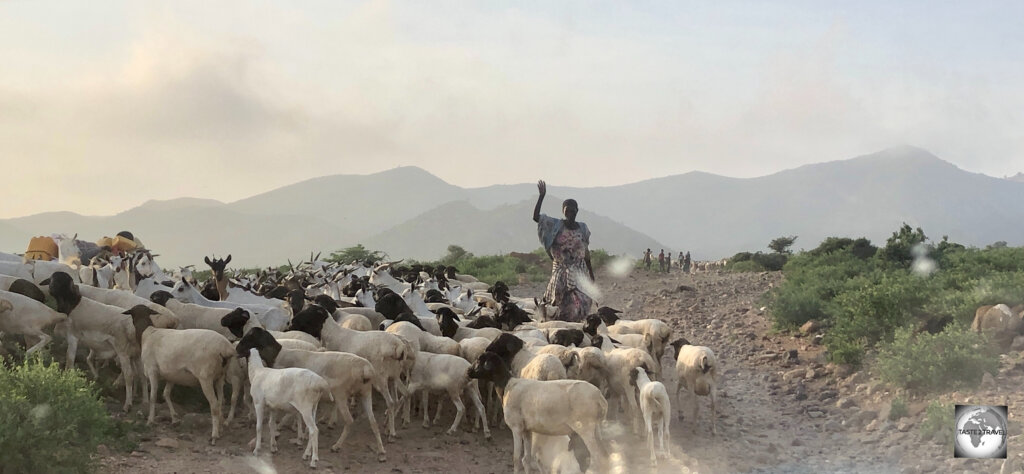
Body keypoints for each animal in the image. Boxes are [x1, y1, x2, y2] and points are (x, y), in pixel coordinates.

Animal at [125, 307, 235, 444]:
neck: (147, 334)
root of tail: (226, 348)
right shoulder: (172, 375)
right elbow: (166, 394)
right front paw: (174, 418)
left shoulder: (152, 370)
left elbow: (153, 397)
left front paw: (150, 420)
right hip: (220, 376)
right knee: (220, 402)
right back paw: (221, 427)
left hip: (206, 377)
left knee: (214, 405)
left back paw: (214, 435)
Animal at [235, 327, 387, 462]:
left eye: (250, 336)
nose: (236, 349)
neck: (278, 356)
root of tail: (366, 368)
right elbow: (295, 416)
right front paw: (299, 436)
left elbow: (291, 415)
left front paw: (294, 434)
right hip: (365, 392)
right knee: (373, 422)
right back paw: (381, 451)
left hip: (341, 395)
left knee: (349, 421)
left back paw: (336, 446)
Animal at [468, 352, 606, 474]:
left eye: (480, 360)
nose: (468, 371)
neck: (507, 386)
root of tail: (600, 397)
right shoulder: (527, 430)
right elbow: (526, 459)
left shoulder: (516, 428)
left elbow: (516, 459)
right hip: (596, 429)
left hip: (585, 429)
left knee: (598, 458)